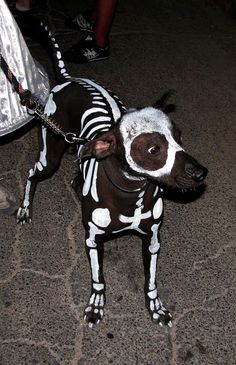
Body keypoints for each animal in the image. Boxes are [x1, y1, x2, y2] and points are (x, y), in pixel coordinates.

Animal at [17, 25, 207, 328]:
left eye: (179, 137)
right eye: (153, 149)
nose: (200, 173)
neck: (132, 193)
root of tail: (70, 79)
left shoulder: (152, 240)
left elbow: (150, 281)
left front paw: (155, 306)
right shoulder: (93, 241)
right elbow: (98, 279)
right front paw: (96, 303)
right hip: (50, 156)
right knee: (32, 173)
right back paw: (25, 208)